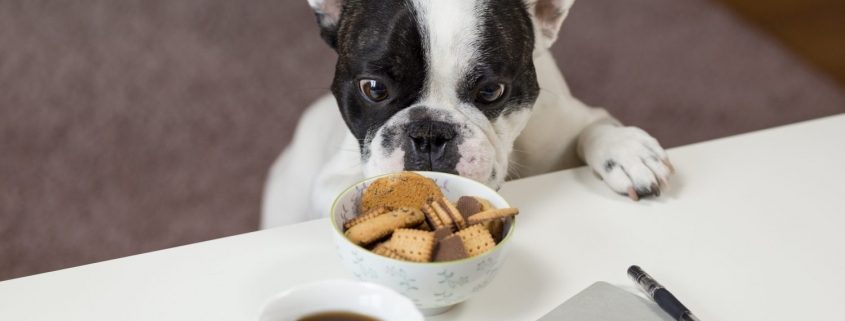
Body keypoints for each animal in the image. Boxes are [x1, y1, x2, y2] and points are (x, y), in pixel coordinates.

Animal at [260, 0, 668, 228]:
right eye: (373, 88)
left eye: (491, 91)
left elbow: (594, 127)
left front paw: (627, 152)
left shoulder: (568, 122)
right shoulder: (331, 179)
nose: (429, 133)